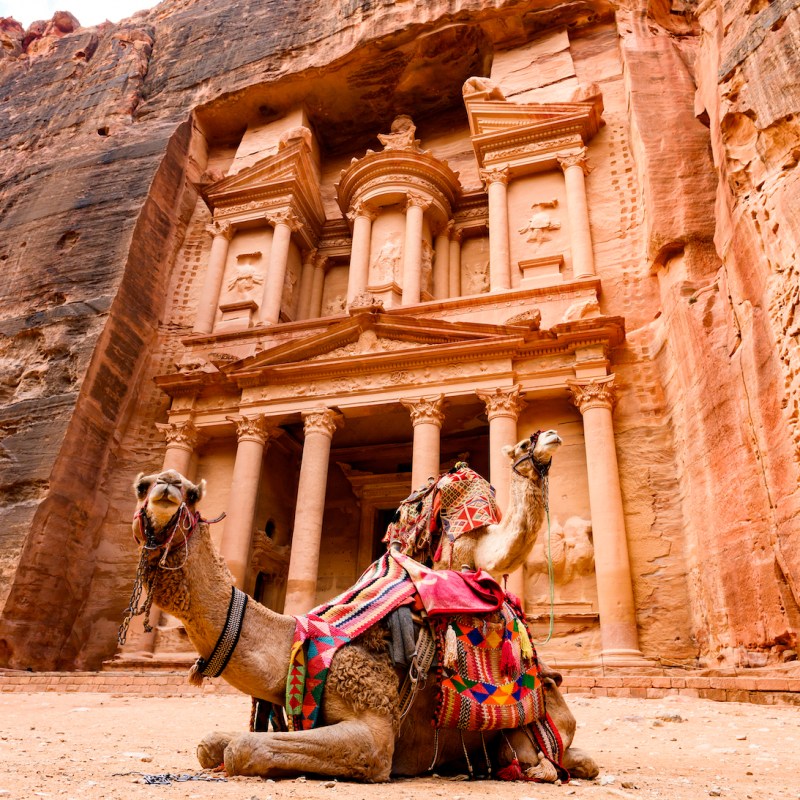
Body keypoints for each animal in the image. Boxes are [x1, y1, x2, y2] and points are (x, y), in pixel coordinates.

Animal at [125, 454, 596, 784]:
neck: (298, 641)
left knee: (557, 757)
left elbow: (242, 749)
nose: (168, 485)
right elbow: (211, 745)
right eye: (141, 485)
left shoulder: (375, 729)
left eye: (193, 494)